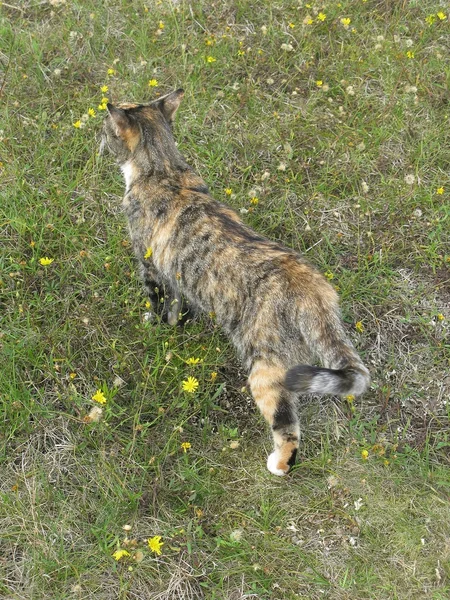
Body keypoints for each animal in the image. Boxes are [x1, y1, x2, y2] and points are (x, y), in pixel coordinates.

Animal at [100, 89, 370, 476]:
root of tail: (311, 287)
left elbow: (157, 302)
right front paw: (177, 325)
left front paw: (152, 325)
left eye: (105, 129)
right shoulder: (178, 277)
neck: (164, 169)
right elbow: (178, 308)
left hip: (266, 364)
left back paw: (279, 464)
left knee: (285, 421)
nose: (97, 140)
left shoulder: (150, 264)